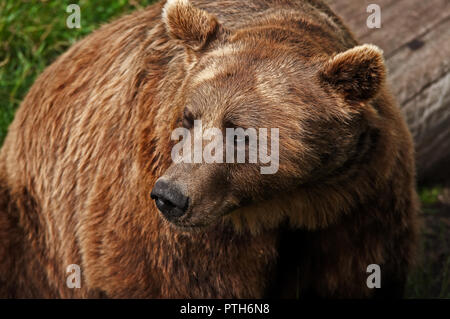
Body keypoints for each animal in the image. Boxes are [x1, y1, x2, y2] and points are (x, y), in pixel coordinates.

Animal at [0, 0, 418, 300]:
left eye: (241, 134)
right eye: (189, 117)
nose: (169, 196)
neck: (286, 203)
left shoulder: (358, 201)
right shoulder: (176, 238)